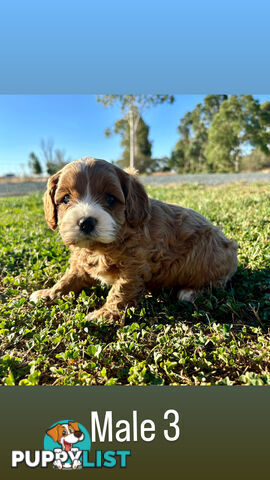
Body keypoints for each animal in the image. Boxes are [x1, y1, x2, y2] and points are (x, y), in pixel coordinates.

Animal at [30, 158, 238, 322]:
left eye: (110, 198)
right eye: (65, 199)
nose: (86, 222)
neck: (101, 246)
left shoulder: (134, 266)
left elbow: (121, 290)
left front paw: (104, 314)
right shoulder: (82, 263)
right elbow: (68, 279)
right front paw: (48, 293)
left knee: (216, 283)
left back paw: (190, 292)